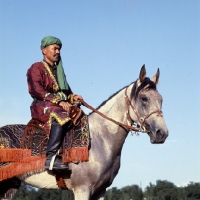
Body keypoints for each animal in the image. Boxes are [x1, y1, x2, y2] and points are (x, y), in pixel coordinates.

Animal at [0, 66, 169, 200]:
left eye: (161, 99)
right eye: (144, 98)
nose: (162, 133)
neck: (100, 141)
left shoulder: (100, 191)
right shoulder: (82, 189)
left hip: (10, 185)